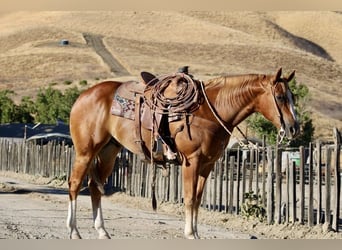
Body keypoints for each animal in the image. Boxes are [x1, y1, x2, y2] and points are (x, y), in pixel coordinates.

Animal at [66, 67, 300, 239]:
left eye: (292, 97)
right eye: (280, 97)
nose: (293, 129)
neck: (212, 111)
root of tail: (83, 96)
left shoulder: (207, 165)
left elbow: (197, 199)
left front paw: (196, 233)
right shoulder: (191, 162)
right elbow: (188, 198)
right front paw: (189, 234)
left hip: (108, 152)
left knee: (94, 188)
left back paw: (102, 231)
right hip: (86, 151)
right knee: (75, 184)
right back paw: (74, 231)